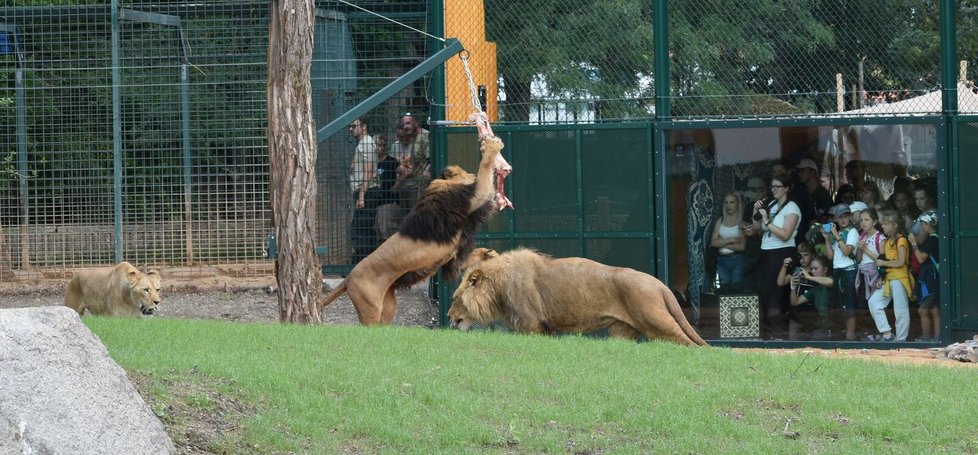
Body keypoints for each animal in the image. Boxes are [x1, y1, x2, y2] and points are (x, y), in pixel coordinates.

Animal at [324, 116, 516, 326]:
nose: (470, 175)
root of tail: (349, 277)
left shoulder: (453, 255)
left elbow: (473, 255)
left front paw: (489, 254)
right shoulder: (474, 196)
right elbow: (485, 168)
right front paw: (491, 146)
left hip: (388, 305)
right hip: (370, 309)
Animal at [446, 249, 704, 346]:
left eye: (454, 298)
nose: (448, 317)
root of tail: (660, 285)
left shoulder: (531, 325)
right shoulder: (545, 328)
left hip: (655, 320)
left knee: (690, 344)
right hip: (621, 332)